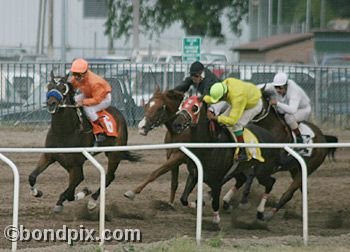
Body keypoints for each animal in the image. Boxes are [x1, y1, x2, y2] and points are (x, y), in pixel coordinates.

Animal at [28, 71, 141, 213]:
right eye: (49, 86)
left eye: (63, 88)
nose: (51, 104)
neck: (64, 131)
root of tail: (119, 112)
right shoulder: (49, 156)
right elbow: (32, 176)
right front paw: (37, 192)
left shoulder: (75, 166)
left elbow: (71, 192)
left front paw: (82, 193)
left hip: (114, 153)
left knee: (109, 176)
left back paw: (92, 201)